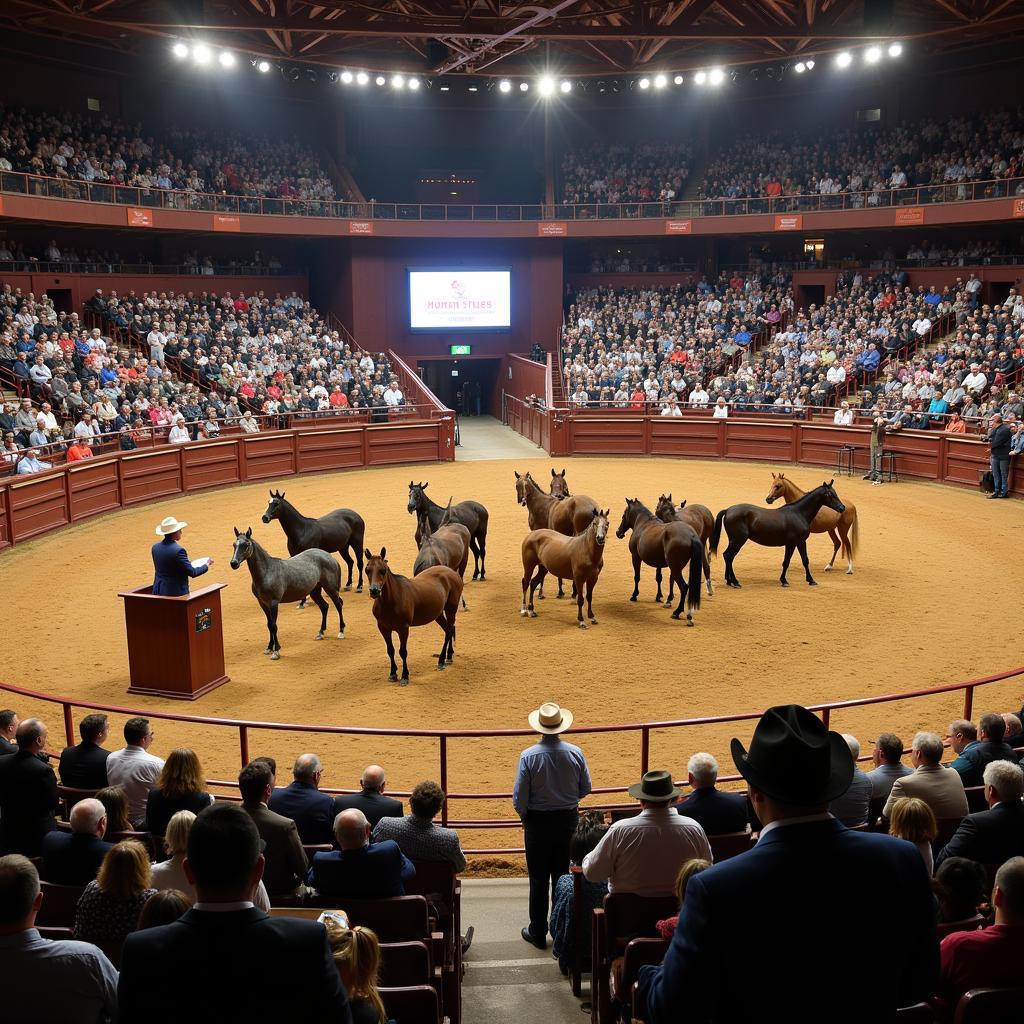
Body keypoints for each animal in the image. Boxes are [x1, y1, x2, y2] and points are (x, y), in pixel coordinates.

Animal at [230, 524, 346, 659]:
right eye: (234, 544)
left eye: (246, 544)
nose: (233, 563)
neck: (267, 571)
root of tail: (329, 556)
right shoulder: (263, 603)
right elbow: (269, 625)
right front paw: (269, 648)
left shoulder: (273, 603)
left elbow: (274, 626)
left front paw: (276, 651)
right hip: (315, 591)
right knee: (324, 607)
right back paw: (321, 633)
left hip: (330, 589)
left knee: (338, 605)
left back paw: (341, 632)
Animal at [366, 548, 462, 684]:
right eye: (367, 570)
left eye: (383, 570)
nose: (374, 591)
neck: (391, 601)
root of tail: (453, 573)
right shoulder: (383, 628)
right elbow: (390, 650)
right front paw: (393, 674)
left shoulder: (403, 629)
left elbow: (403, 652)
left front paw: (405, 676)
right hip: (438, 614)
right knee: (450, 629)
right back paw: (449, 656)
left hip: (451, 609)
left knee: (448, 631)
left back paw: (441, 660)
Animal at [712, 481, 847, 589]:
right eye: (830, 494)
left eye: (835, 493)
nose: (842, 508)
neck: (799, 513)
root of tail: (728, 510)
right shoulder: (793, 543)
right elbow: (788, 562)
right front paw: (785, 581)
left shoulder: (799, 542)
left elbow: (804, 560)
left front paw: (810, 580)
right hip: (738, 541)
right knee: (729, 556)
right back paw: (735, 582)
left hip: (733, 541)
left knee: (727, 556)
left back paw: (729, 581)